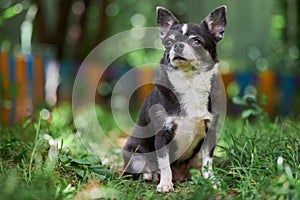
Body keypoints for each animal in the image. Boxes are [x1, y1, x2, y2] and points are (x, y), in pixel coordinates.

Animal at [123, 5, 226, 192]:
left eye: (196, 41)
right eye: (169, 42)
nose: (177, 45)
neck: (189, 83)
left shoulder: (210, 131)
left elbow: (208, 161)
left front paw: (211, 181)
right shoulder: (162, 133)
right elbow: (164, 162)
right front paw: (165, 184)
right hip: (135, 153)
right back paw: (150, 174)